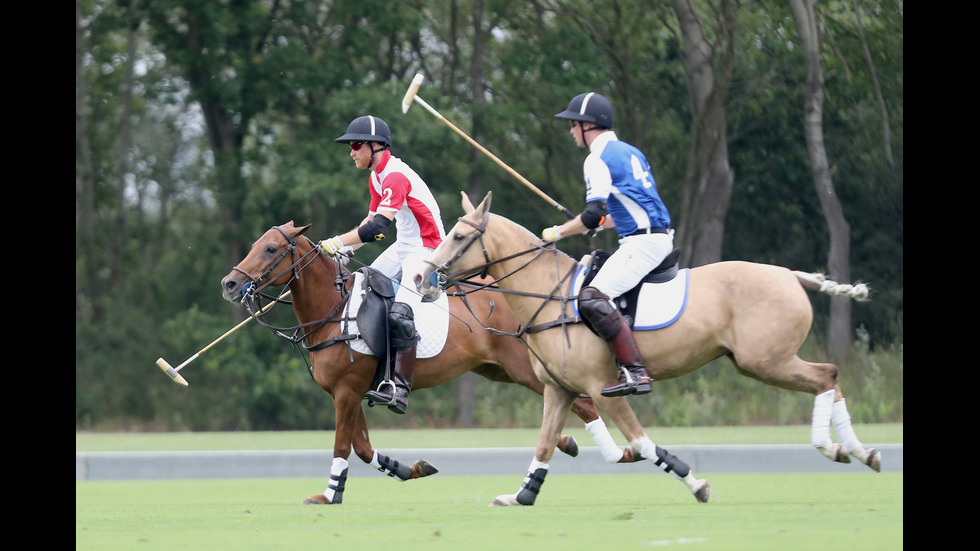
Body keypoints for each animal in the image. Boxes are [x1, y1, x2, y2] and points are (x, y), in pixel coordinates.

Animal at [218, 222, 640, 506]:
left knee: (583, 401)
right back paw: (571, 443)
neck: (333, 310)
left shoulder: (346, 392)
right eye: (256, 244)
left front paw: (327, 495)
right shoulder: (351, 393)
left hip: (525, 369)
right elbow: (363, 447)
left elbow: (343, 445)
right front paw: (414, 469)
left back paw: (617, 453)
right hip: (498, 370)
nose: (229, 284)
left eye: (271, 248)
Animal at [418, 192, 876, 506]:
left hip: (765, 359)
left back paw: (837, 447)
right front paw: (521, 495)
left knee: (826, 375)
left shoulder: (603, 387)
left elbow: (640, 443)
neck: (550, 295)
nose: (423, 277)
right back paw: (857, 450)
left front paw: (696, 483)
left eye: (459, 235)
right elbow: (545, 443)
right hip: (764, 360)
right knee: (830, 377)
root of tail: (792, 276)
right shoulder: (558, 389)